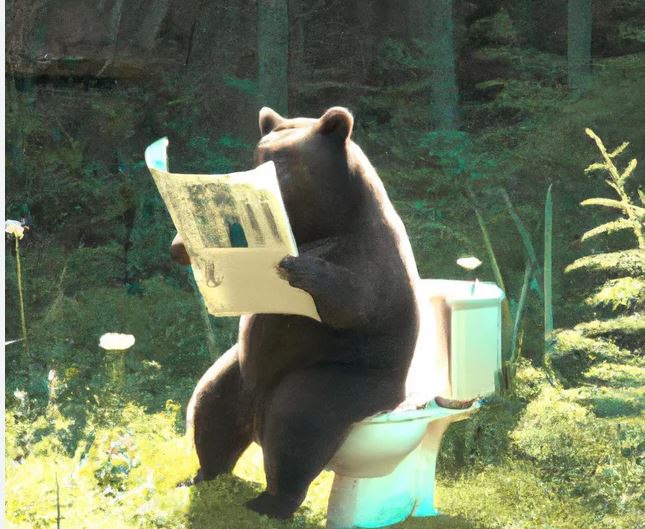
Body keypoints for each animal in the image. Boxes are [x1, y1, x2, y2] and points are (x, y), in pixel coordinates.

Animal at [174, 106, 422, 519]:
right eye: (257, 157)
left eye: (280, 164)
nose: (247, 186)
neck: (318, 224)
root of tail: (256, 417)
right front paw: (185, 243)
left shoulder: (369, 257)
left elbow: (351, 302)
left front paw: (299, 268)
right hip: (237, 372)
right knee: (210, 408)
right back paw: (201, 474)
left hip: (336, 377)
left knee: (297, 427)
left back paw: (270, 500)